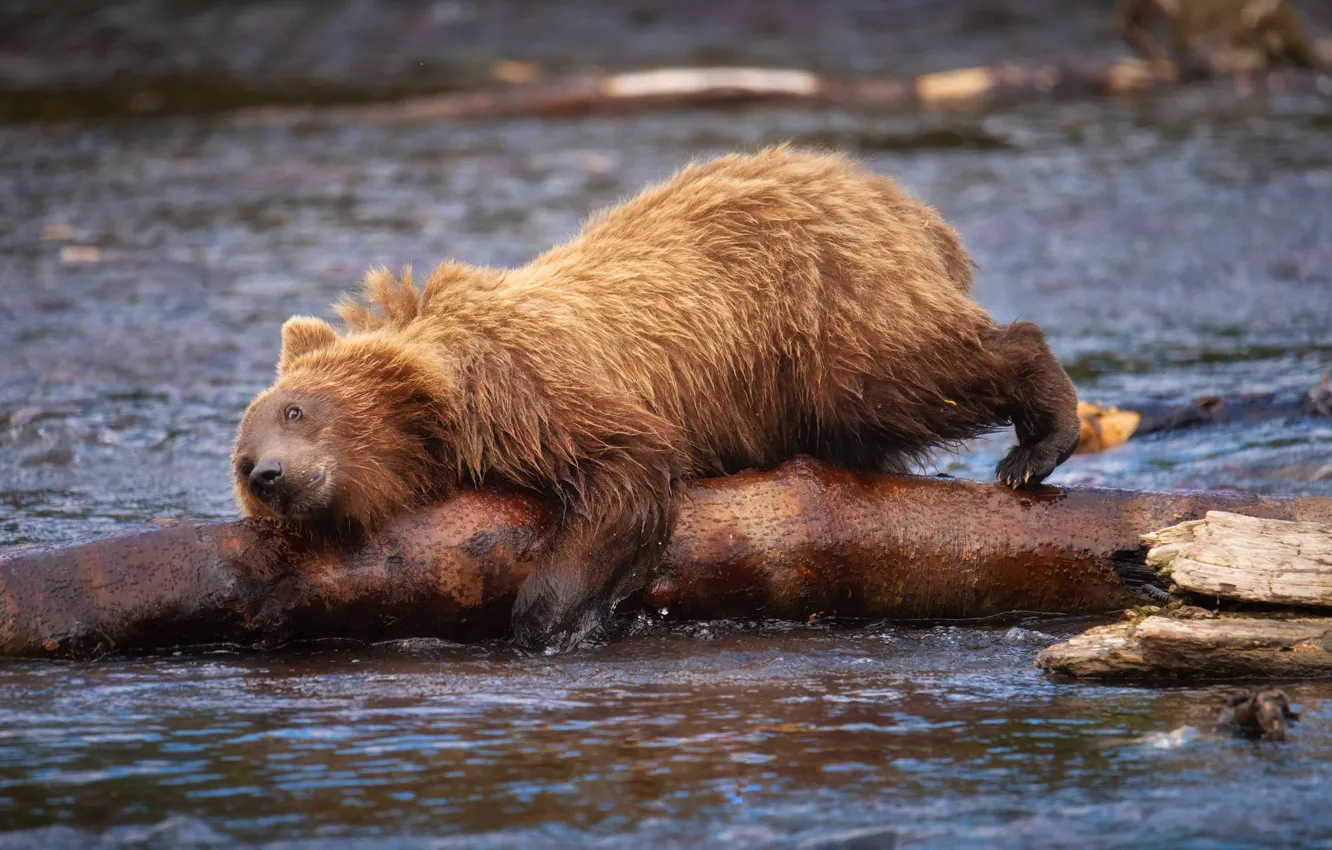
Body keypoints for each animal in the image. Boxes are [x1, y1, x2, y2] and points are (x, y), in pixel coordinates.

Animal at [229, 145, 1081, 652]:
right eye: (242, 462)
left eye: (296, 409)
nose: (272, 475)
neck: (445, 407)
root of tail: (894, 197)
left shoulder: (527, 389)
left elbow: (627, 463)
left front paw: (547, 619)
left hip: (822, 315)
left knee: (906, 372)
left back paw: (1037, 440)